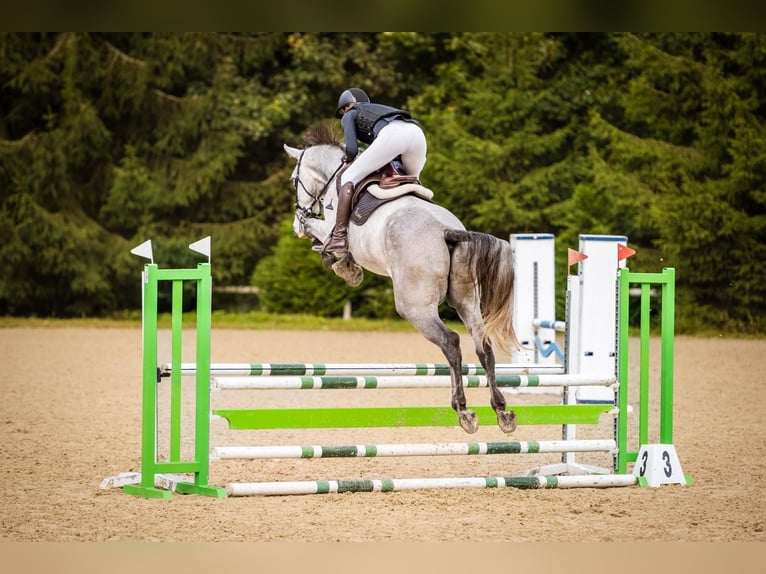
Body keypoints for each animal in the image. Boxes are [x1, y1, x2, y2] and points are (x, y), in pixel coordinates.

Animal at [283, 123, 519, 434]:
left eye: (293, 180)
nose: (296, 216)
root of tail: (448, 231)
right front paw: (345, 266)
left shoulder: (332, 226)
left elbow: (322, 235)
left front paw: (341, 264)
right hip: (467, 300)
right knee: (484, 346)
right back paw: (502, 411)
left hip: (414, 307)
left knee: (451, 342)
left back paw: (463, 410)